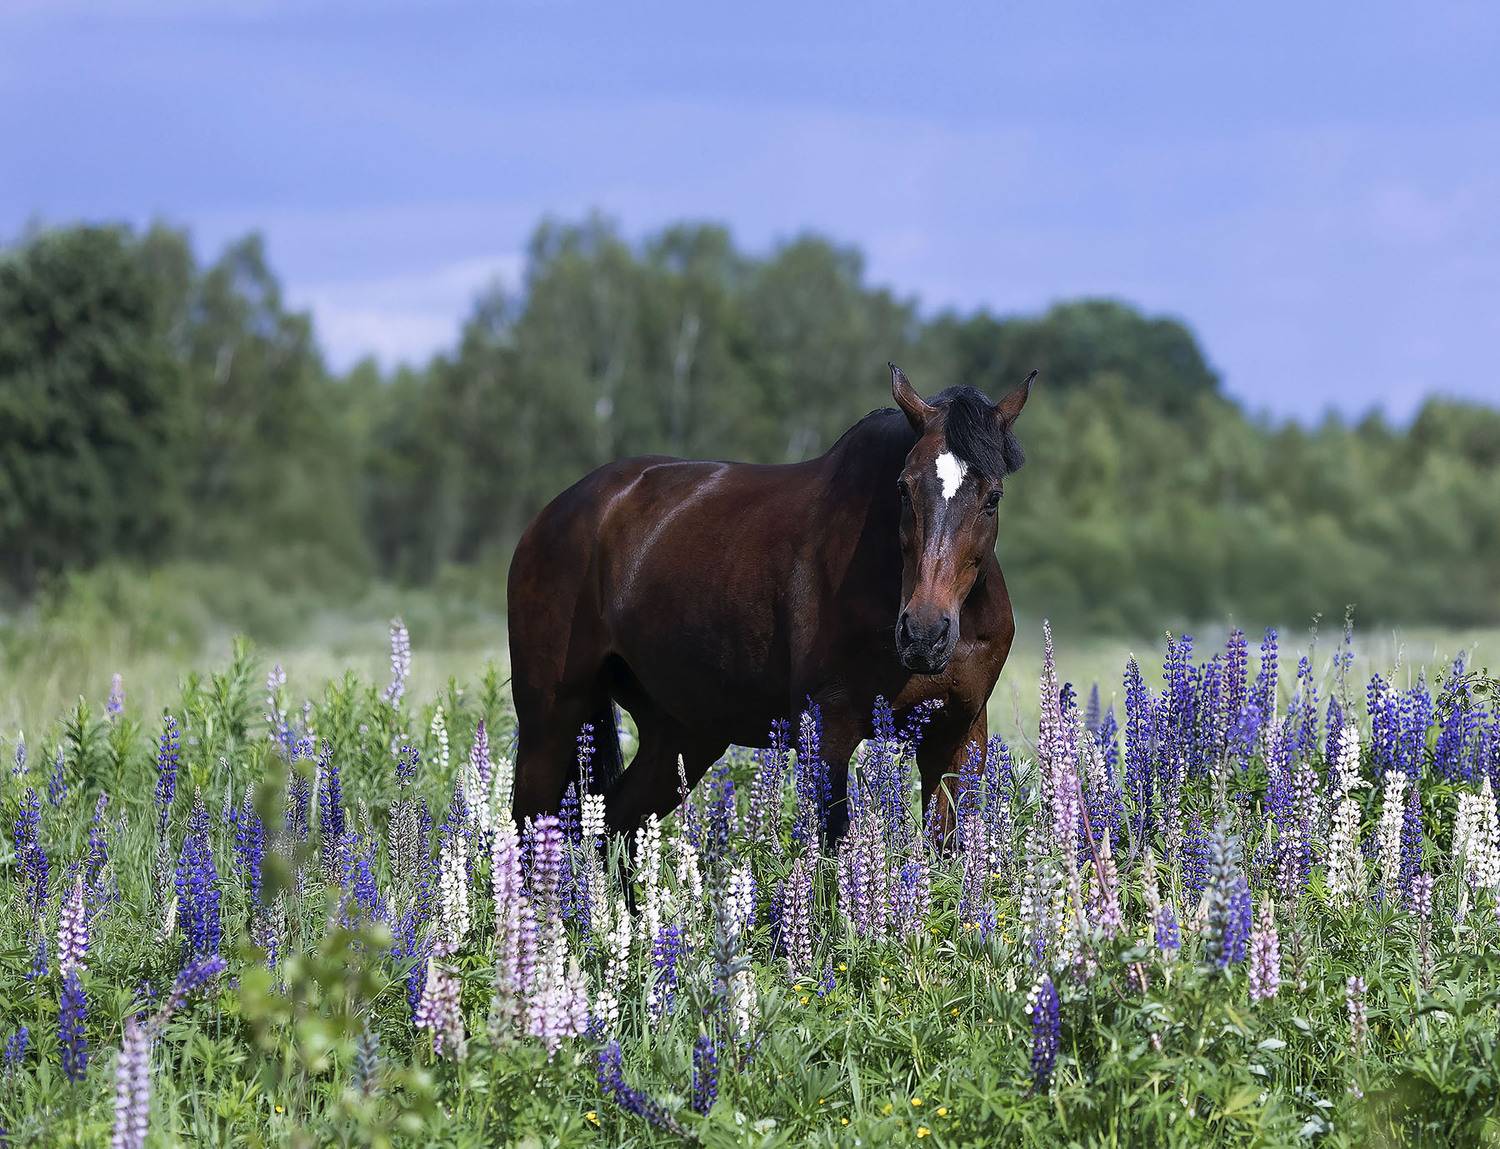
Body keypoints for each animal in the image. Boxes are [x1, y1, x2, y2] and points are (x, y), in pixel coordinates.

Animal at [507, 363, 1035, 838]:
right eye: (903, 488)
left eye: (992, 497)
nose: (924, 634)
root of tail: (557, 512)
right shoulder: (828, 731)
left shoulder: (958, 733)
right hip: (549, 722)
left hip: (683, 731)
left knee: (616, 826)